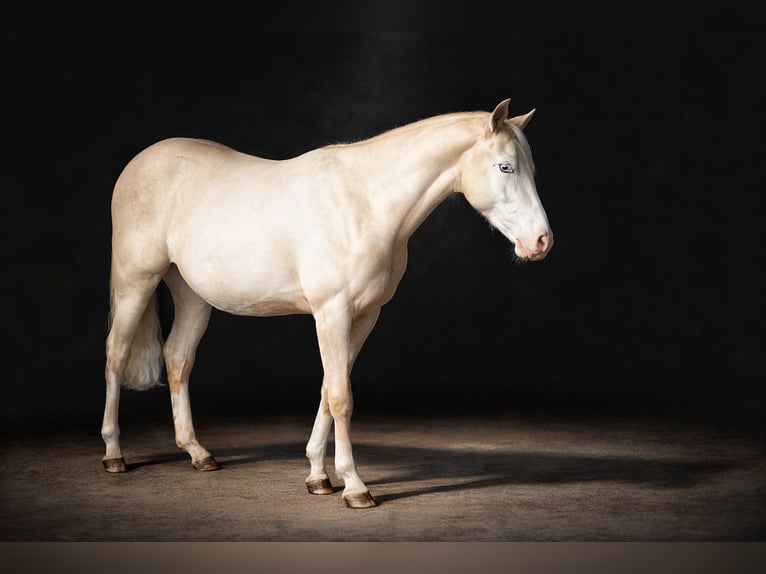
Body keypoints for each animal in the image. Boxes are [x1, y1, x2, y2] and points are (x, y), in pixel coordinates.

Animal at [101, 98, 553, 508]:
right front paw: (354, 485)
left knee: (178, 359)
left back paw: (198, 453)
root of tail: (140, 163)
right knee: (116, 354)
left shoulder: (365, 316)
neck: (365, 205)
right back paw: (113, 455)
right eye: (506, 167)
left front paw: (318, 475)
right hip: (135, 282)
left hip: (192, 295)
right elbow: (340, 396)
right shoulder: (331, 312)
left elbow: (328, 388)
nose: (541, 242)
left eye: (530, 169)